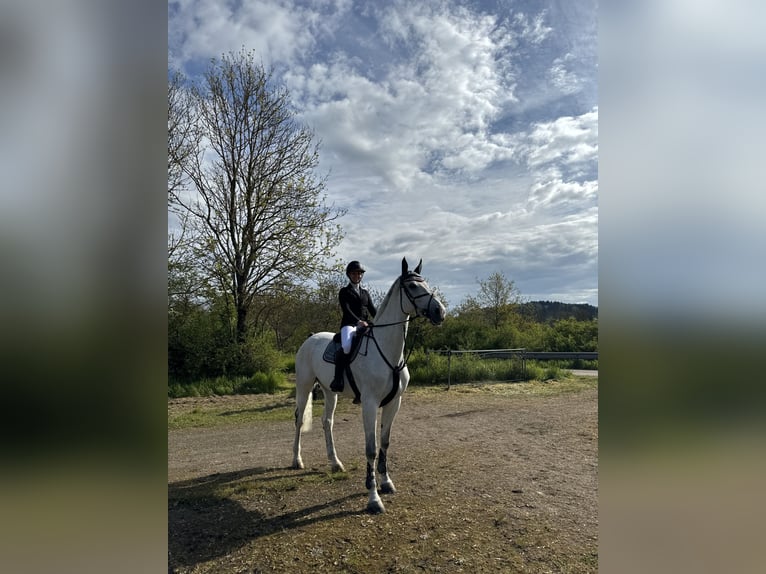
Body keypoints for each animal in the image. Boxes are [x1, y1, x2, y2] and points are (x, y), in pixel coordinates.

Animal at [292, 257, 446, 513]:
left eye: (425, 282)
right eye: (412, 286)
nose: (440, 312)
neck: (388, 353)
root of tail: (310, 338)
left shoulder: (394, 403)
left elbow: (384, 442)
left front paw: (386, 482)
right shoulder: (370, 403)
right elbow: (371, 449)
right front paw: (374, 498)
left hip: (330, 392)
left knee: (327, 422)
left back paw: (335, 463)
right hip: (304, 387)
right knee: (298, 420)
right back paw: (296, 460)